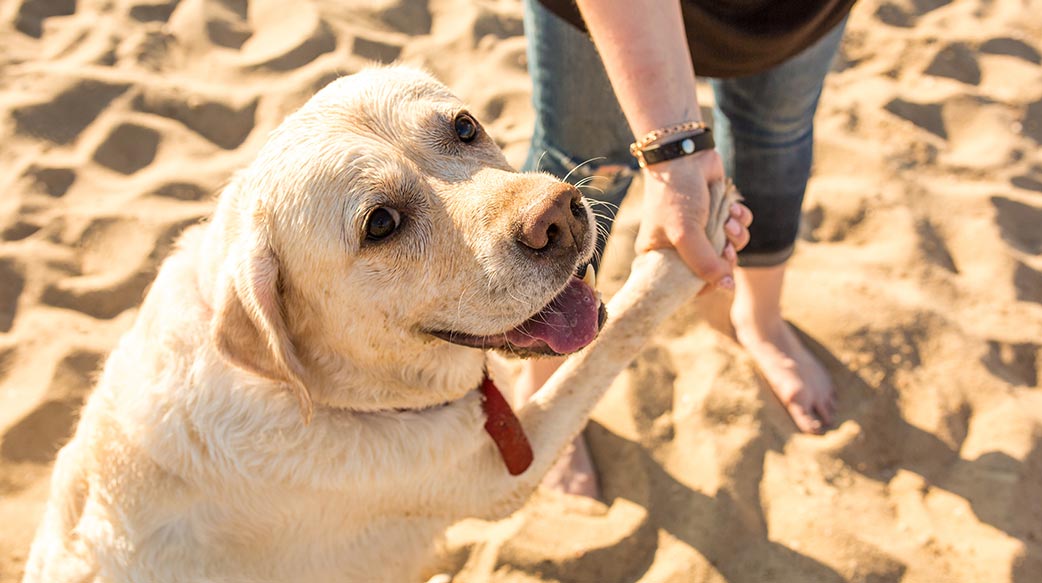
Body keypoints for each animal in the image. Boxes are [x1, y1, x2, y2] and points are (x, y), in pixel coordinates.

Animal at [22, 66, 608, 578]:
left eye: (465, 127)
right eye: (380, 223)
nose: (558, 213)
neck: (320, 391)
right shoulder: (500, 473)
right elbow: (614, 336)